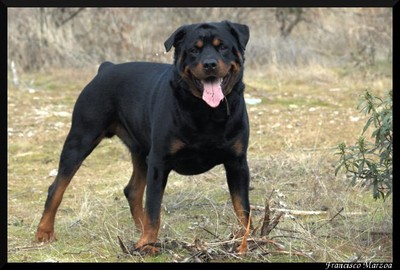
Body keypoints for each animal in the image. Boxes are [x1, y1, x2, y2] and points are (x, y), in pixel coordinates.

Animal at [36, 21, 252, 255]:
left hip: (140, 151)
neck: (208, 112)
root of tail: (106, 67)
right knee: (57, 187)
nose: (210, 64)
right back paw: (44, 231)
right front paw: (148, 244)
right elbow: (153, 208)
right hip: (81, 138)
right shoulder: (159, 161)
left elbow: (242, 208)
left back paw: (140, 230)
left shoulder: (237, 162)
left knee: (132, 190)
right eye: (194, 50)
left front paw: (244, 242)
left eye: (223, 47)